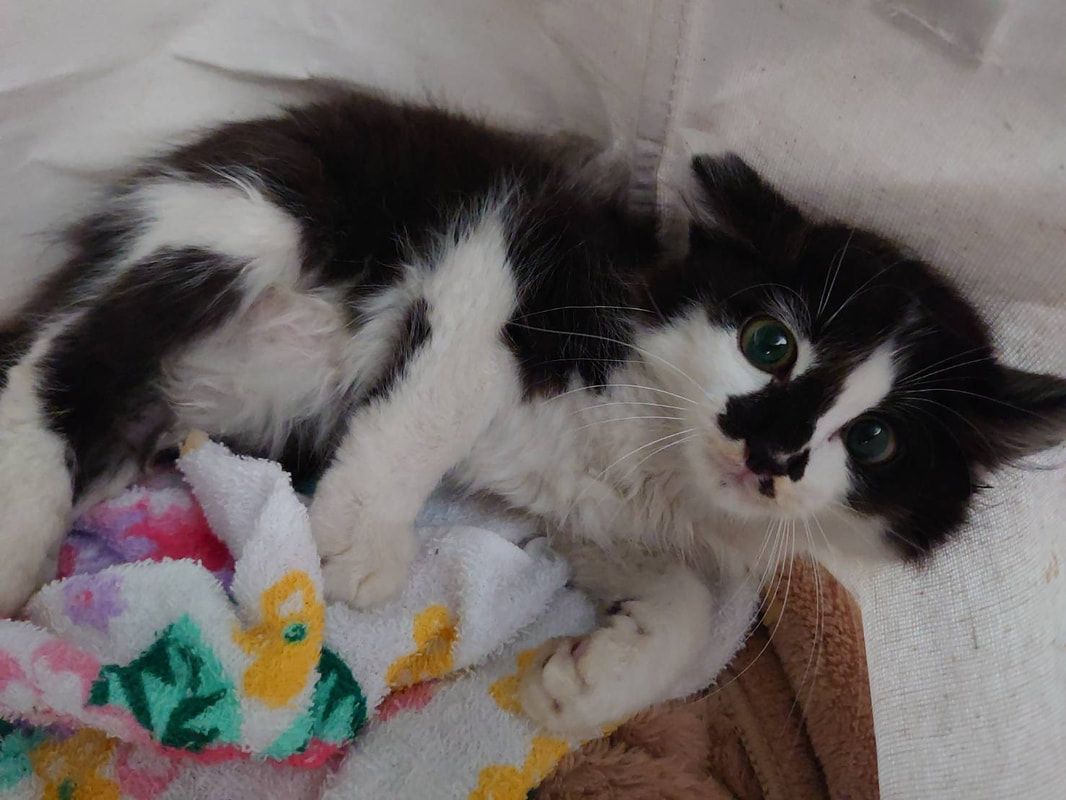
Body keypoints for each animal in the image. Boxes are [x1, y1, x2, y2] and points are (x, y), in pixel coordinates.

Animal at [2, 90, 1066, 738]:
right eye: (771, 343)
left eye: (877, 440)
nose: (771, 450)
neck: (645, 432)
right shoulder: (504, 247)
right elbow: (449, 384)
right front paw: (359, 539)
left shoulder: (589, 509)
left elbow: (686, 603)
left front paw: (594, 683)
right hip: (246, 215)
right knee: (52, 361)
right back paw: (22, 534)